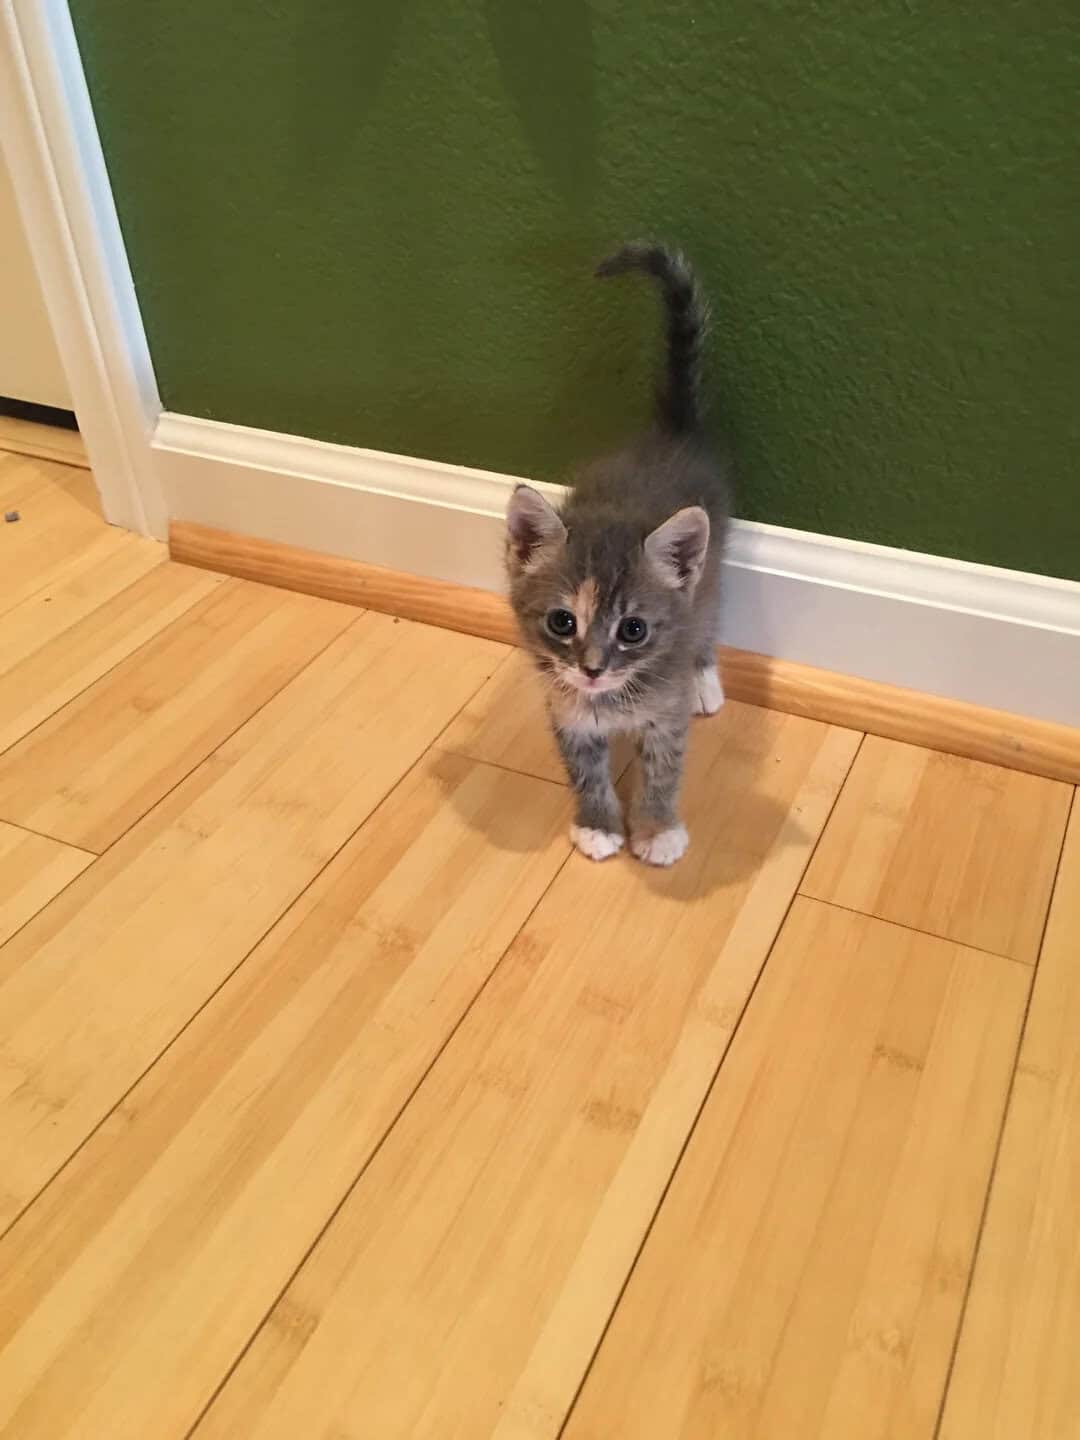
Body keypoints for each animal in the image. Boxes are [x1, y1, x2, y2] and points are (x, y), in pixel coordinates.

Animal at [505, 241, 732, 866]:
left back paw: (705, 678)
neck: (613, 701)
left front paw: (657, 830)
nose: (591, 668)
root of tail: (666, 437)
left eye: (634, 630)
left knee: (707, 614)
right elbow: (584, 771)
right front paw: (599, 824)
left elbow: (663, 772)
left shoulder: (665, 716)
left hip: (712, 569)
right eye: (562, 622)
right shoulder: (567, 712)